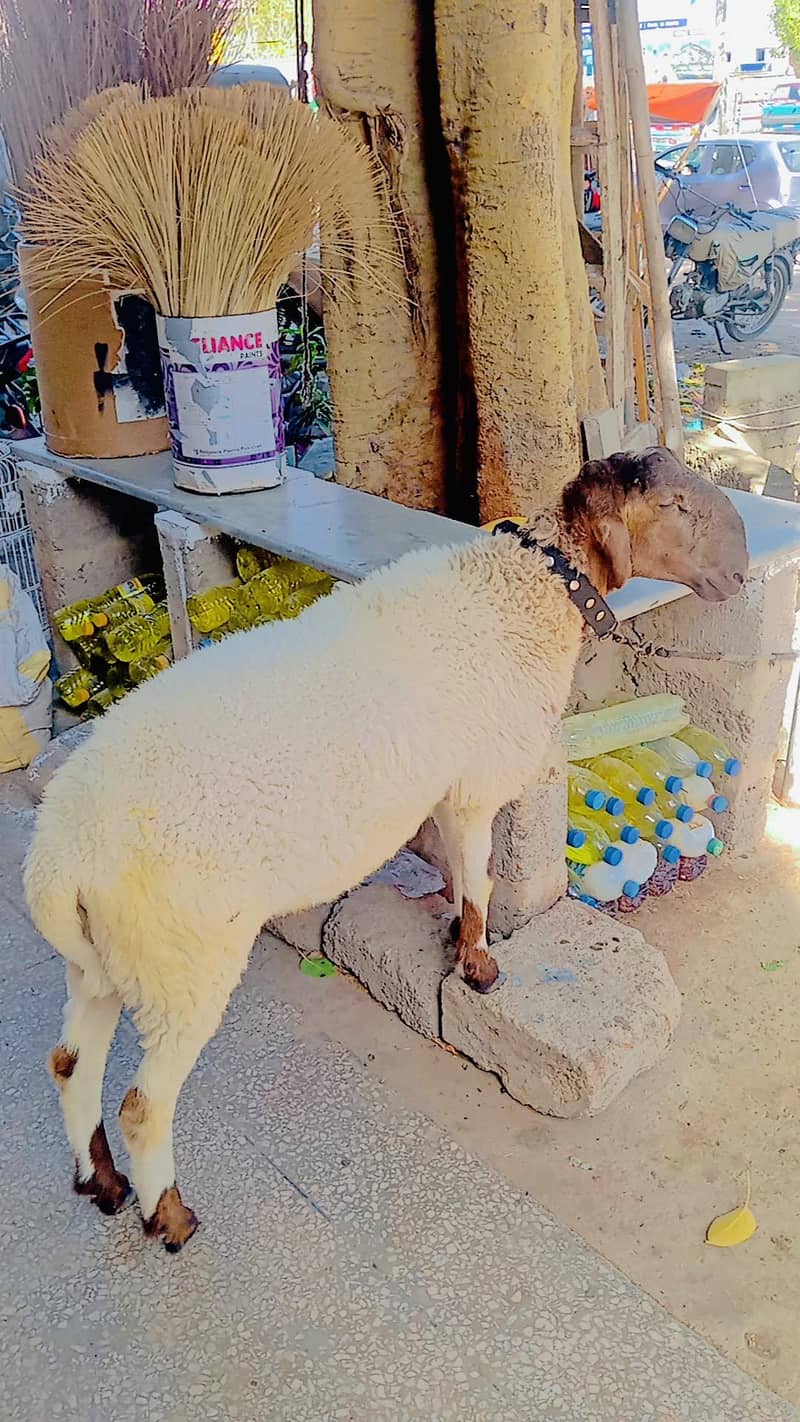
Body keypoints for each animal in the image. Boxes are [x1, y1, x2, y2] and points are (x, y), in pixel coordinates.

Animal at [25, 448, 748, 1252]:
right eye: (675, 507)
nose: (742, 567)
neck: (526, 588)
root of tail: (58, 864)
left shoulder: (443, 786)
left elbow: (455, 870)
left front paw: (453, 933)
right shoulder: (476, 781)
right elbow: (480, 877)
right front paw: (481, 967)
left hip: (106, 960)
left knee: (70, 1065)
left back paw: (102, 1184)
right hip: (181, 959)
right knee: (143, 1107)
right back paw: (169, 1217)